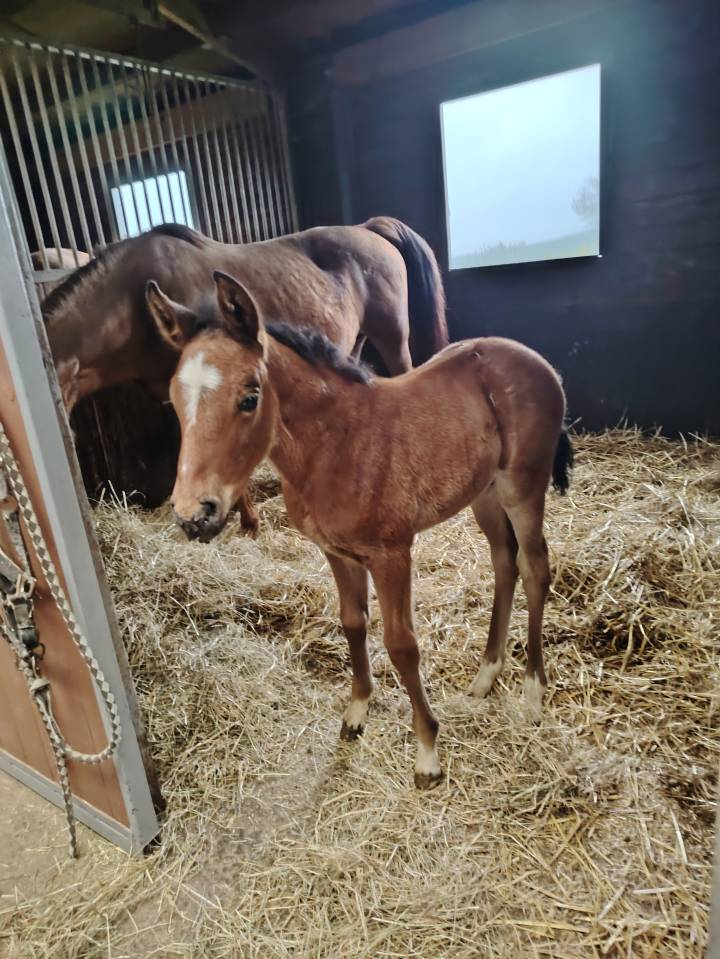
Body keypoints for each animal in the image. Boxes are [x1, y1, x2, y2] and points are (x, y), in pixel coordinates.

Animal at [145, 271, 573, 789]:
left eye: (249, 397)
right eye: (173, 400)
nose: (194, 514)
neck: (335, 443)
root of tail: (537, 361)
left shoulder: (392, 554)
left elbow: (402, 646)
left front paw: (427, 753)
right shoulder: (337, 552)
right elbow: (352, 624)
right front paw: (356, 713)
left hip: (522, 488)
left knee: (534, 567)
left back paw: (532, 691)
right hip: (485, 495)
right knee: (503, 563)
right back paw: (487, 674)